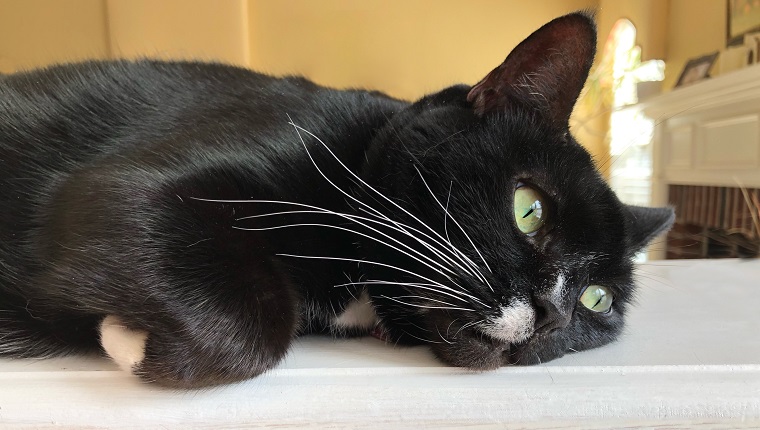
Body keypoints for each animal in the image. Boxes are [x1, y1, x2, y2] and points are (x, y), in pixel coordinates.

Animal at [2, 11, 672, 388]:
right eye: (529, 209)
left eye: (596, 300)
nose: (552, 314)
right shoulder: (122, 188)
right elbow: (250, 326)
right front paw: (126, 341)